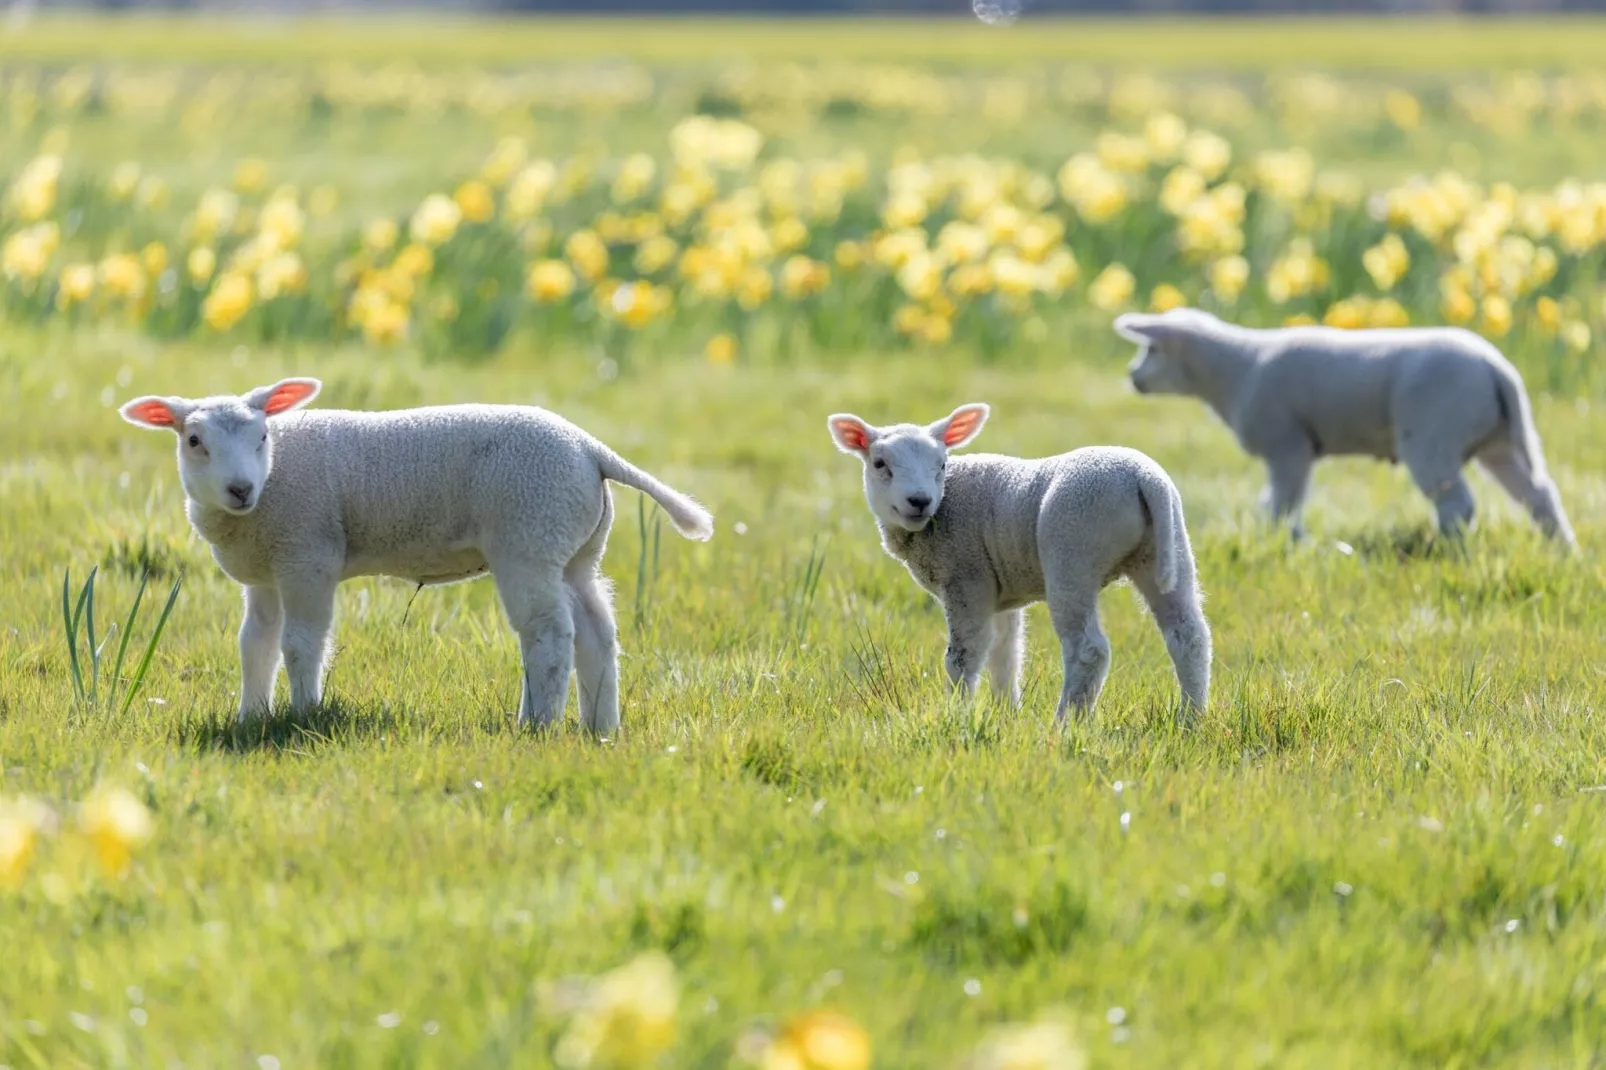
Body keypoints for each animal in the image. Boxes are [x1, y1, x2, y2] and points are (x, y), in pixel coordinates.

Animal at [118, 377, 709, 732]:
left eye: (263, 436)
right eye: (194, 441)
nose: (240, 489)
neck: (271, 486)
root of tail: (591, 449)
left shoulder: (308, 552)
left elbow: (301, 644)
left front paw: (304, 713)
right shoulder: (265, 570)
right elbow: (254, 645)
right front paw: (250, 717)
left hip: (529, 534)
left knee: (548, 633)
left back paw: (537, 724)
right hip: (575, 546)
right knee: (596, 630)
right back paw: (599, 726)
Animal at [828, 404, 1207, 719]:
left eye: (942, 465)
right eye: (880, 464)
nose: (919, 501)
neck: (942, 508)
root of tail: (1144, 479)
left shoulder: (967, 578)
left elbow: (963, 656)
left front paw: (956, 715)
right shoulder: (999, 592)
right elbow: (1005, 655)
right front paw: (1006, 714)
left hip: (1072, 552)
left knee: (1089, 649)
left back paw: (1065, 724)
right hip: (1168, 548)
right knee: (1188, 637)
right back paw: (1191, 719)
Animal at [1117, 306, 1580, 543]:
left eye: (1152, 349)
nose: (1132, 376)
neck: (1236, 369)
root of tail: (1497, 368)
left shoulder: (1288, 446)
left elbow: (1282, 502)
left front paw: (1284, 541)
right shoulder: (1291, 450)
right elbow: (1277, 502)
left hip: (1433, 437)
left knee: (1458, 504)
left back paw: (1451, 549)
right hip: (1497, 442)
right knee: (1539, 495)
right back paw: (1563, 550)